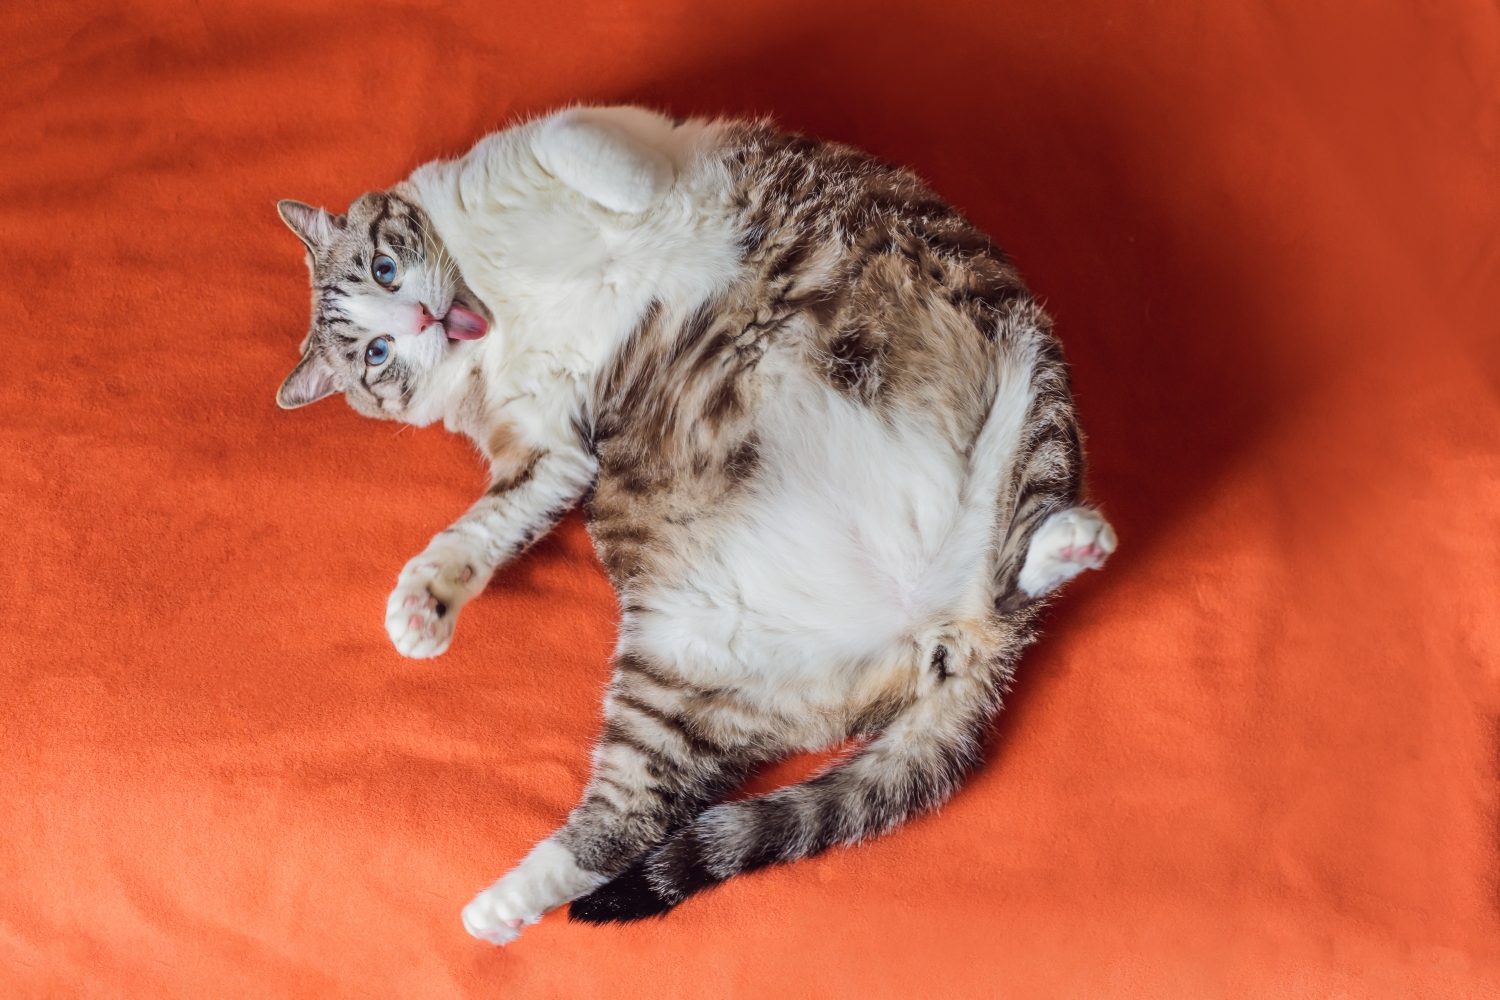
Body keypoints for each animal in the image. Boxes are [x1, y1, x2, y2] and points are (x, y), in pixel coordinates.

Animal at [273, 109, 1116, 947]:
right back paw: (501, 907)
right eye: (378, 353)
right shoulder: (548, 452)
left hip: (1027, 372)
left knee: (1017, 557)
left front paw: (638, 192)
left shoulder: (564, 136)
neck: (494, 308)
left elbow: (582, 150)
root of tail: (941, 629)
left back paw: (1065, 542)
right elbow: (480, 529)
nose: (418, 317)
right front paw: (423, 606)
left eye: (386, 268)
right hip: (689, 668)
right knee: (633, 817)